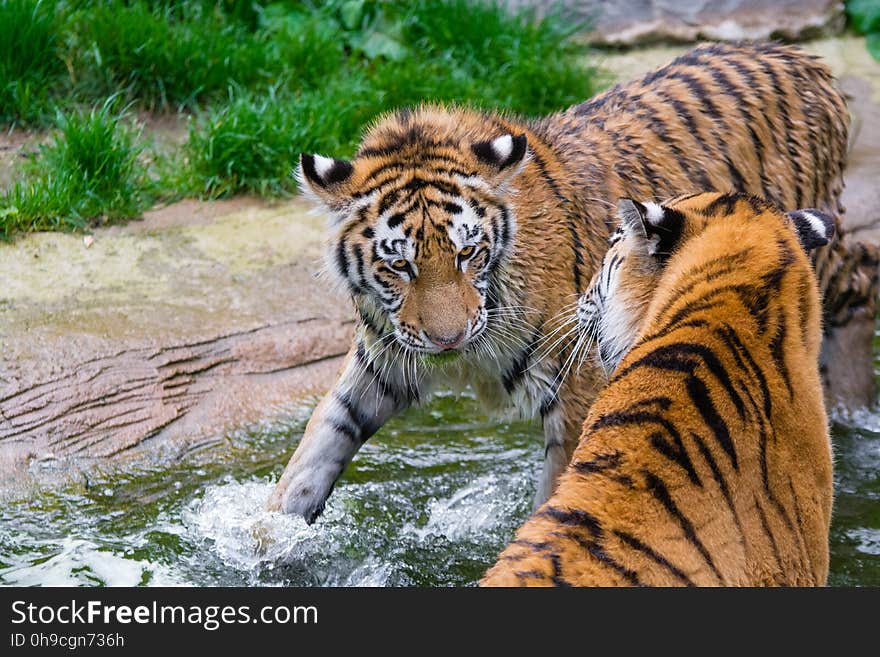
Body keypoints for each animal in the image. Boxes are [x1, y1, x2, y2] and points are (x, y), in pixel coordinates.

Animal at [268, 39, 872, 524]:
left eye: (467, 253)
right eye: (400, 266)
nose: (448, 339)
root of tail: (803, 59)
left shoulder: (580, 386)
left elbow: (563, 491)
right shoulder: (385, 358)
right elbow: (319, 442)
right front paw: (269, 539)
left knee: (863, 284)